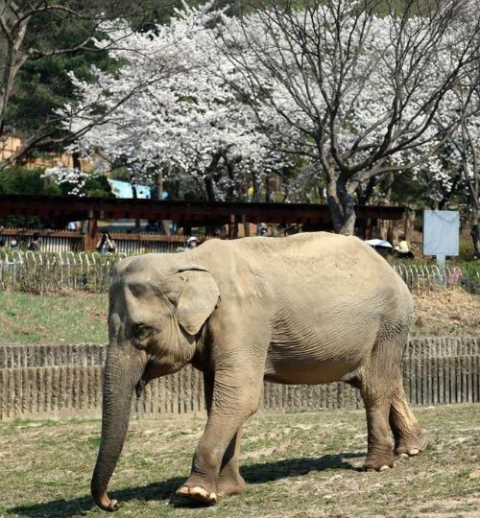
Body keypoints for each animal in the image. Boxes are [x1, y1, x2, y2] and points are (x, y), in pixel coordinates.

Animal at [90, 232, 428, 512]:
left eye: (142, 330)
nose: (113, 503)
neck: (187, 262)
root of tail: (392, 270)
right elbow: (220, 399)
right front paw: (227, 491)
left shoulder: (242, 318)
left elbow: (241, 396)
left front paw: (195, 493)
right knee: (386, 380)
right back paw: (411, 450)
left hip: (389, 322)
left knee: (373, 388)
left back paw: (377, 466)